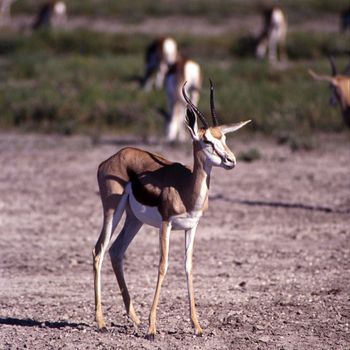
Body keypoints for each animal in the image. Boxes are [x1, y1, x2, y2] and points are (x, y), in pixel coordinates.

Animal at [92, 81, 252, 340]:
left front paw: (197, 326)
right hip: (112, 210)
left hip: (134, 219)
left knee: (116, 251)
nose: (231, 160)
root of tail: (113, 157)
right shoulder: (166, 224)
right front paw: (152, 328)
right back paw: (101, 322)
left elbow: (187, 267)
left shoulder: (192, 227)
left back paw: (134, 318)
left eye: (224, 137)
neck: (186, 189)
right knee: (99, 250)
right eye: (207, 141)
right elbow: (163, 265)